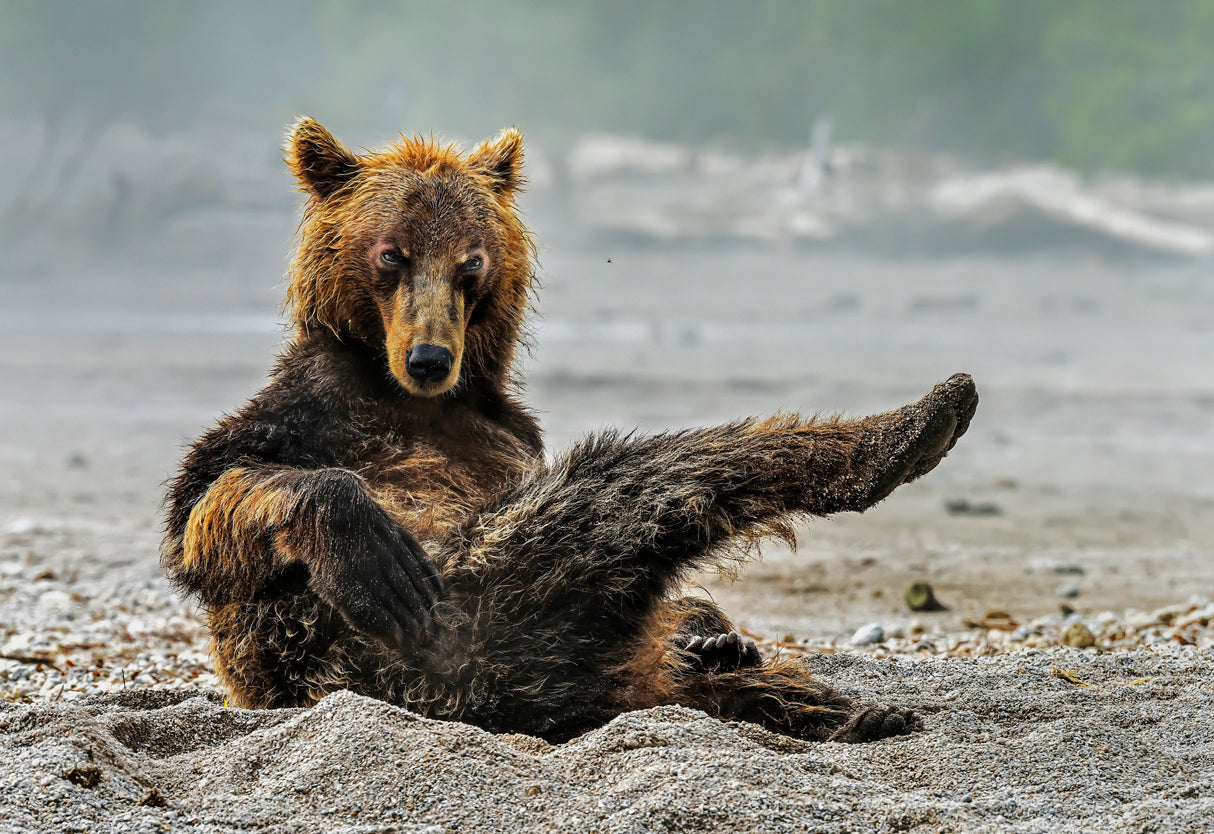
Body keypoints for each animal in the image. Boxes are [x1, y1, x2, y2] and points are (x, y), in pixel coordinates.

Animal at [161, 118, 978, 744]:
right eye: (391, 253)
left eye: (471, 262)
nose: (430, 356)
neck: (416, 400)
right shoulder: (313, 406)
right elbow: (211, 500)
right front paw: (367, 549)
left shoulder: (510, 437)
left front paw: (717, 636)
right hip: (468, 619)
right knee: (644, 477)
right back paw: (911, 434)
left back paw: (816, 689)